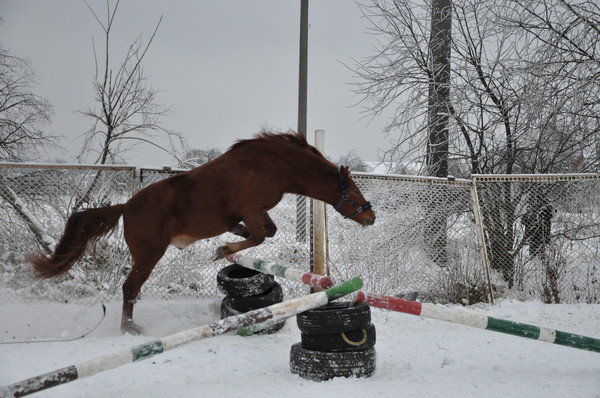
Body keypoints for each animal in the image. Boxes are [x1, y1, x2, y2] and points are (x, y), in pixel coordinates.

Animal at [31, 131, 376, 332]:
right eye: (355, 191)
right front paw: (222, 249)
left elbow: (266, 231)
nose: (371, 216)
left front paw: (231, 236)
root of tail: (125, 207)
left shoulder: (256, 213)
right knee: (129, 288)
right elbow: (261, 235)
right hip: (149, 254)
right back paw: (130, 328)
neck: (273, 167)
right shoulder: (252, 210)